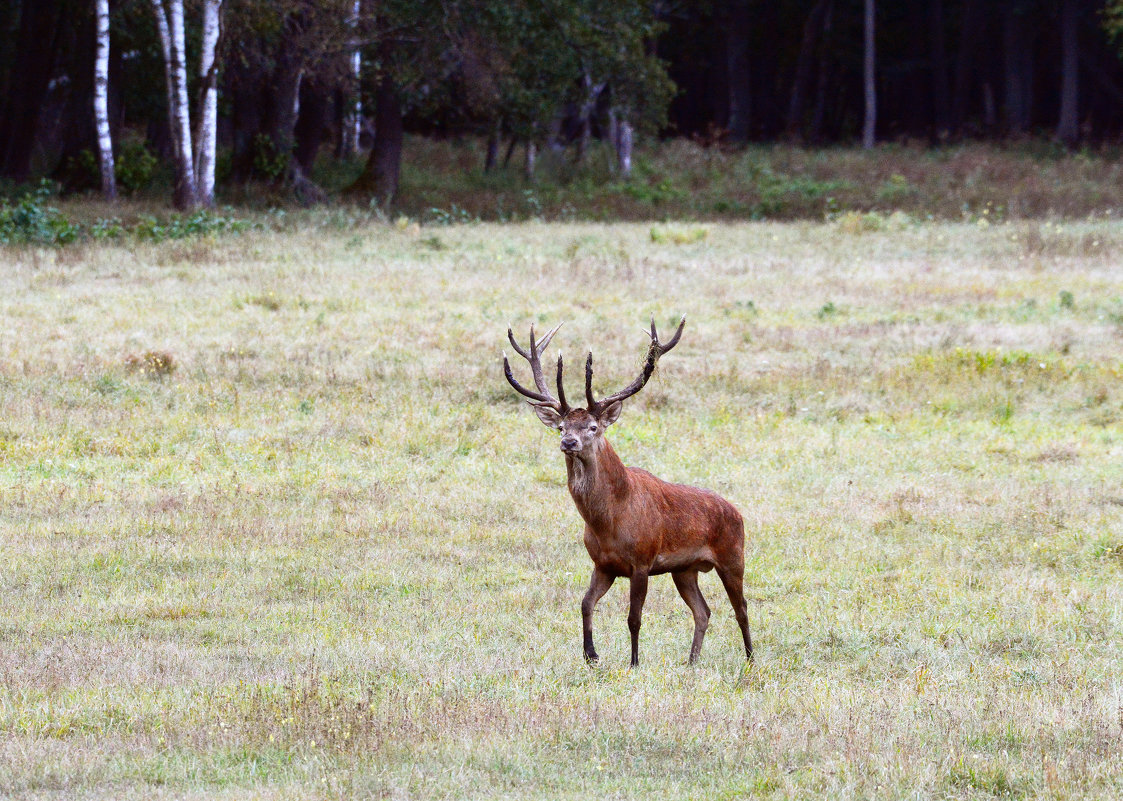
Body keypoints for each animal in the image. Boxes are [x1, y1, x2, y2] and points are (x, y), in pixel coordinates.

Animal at [503, 314, 754, 665]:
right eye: (562, 427)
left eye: (593, 427)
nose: (568, 442)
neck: (609, 522)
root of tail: (738, 512)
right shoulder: (603, 565)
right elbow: (585, 603)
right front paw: (591, 655)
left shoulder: (642, 561)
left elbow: (634, 617)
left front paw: (634, 662)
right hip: (685, 569)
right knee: (703, 610)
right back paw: (692, 662)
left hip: (733, 555)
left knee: (741, 607)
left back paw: (750, 658)